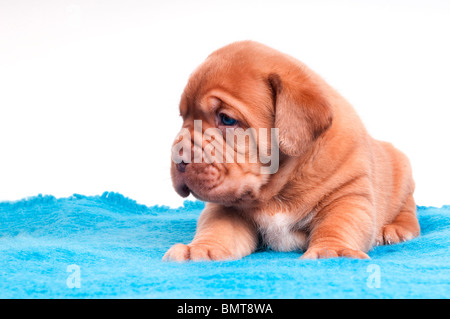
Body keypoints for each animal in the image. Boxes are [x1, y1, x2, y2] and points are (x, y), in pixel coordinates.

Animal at [163, 41, 420, 262]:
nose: (178, 158)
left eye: (227, 119)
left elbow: (339, 223)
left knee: (409, 211)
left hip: (403, 174)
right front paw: (201, 249)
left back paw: (394, 229)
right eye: (183, 118)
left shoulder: (348, 194)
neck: (278, 187)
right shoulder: (226, 207)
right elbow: (217, 227)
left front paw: (332, 251)